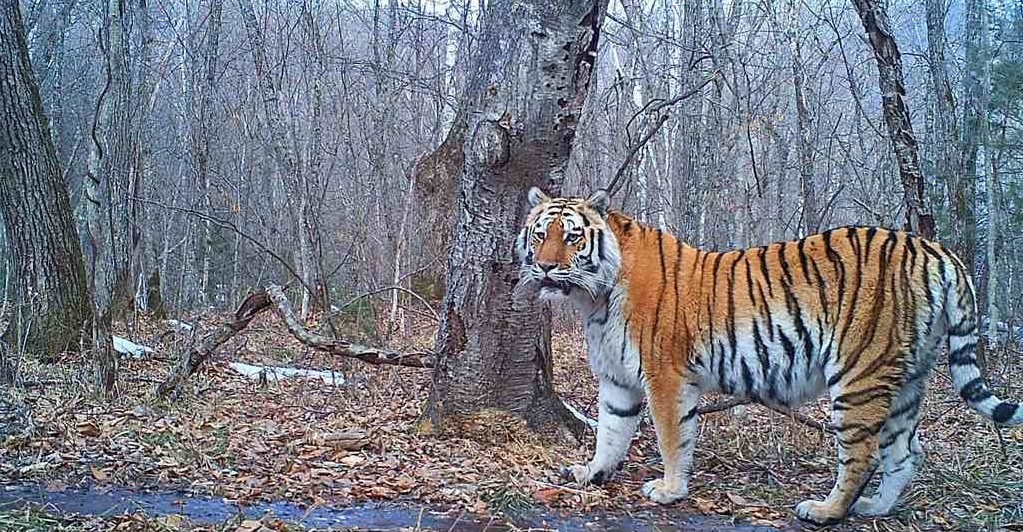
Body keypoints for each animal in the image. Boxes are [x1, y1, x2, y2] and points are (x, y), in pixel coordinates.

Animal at [515, 187, 1018, 523]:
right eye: (539, 235)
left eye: (572, 237)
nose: (544, 265)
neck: (594, 298)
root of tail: (934, 248)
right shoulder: (618, 379)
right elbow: (611, 431)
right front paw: (592, 472)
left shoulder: (666, 377)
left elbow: (671, 439)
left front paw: (670, 490)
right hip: (906, 379)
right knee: (907, 450)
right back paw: (874, 507)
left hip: (859, 374)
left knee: (863, 453)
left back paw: (826, 510)